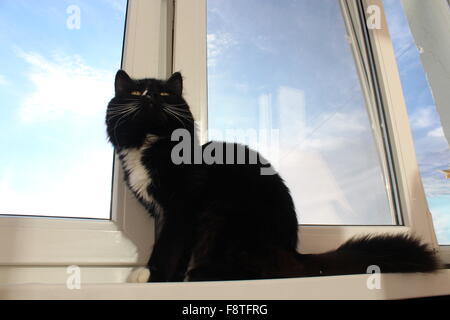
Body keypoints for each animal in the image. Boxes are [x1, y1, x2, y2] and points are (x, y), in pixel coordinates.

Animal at [106, 70, 440, 282]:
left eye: (164, 93)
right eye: (135, 92)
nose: (151, 96)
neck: (150, 144)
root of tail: (293, 252)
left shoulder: (182, 208)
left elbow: (168, 247)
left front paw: (152, 277)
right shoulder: (164, 212)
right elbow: (173, 246)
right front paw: (165, 278)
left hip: (227, 219)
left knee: (260, 271)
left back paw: (203, 274)